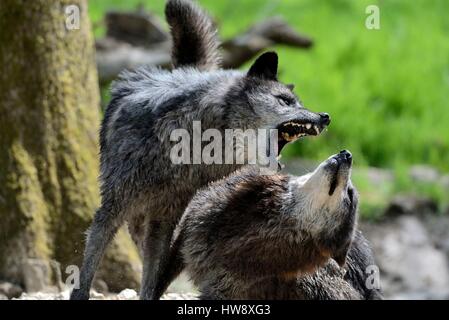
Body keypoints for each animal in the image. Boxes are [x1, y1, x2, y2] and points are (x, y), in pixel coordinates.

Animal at [70, 0, 328, 300]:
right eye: (285, 101)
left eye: (299, 101)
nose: (325, 117)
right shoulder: (113, 208)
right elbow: (89, 266)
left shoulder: (165, 217)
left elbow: (152, 276)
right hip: (134, 216)